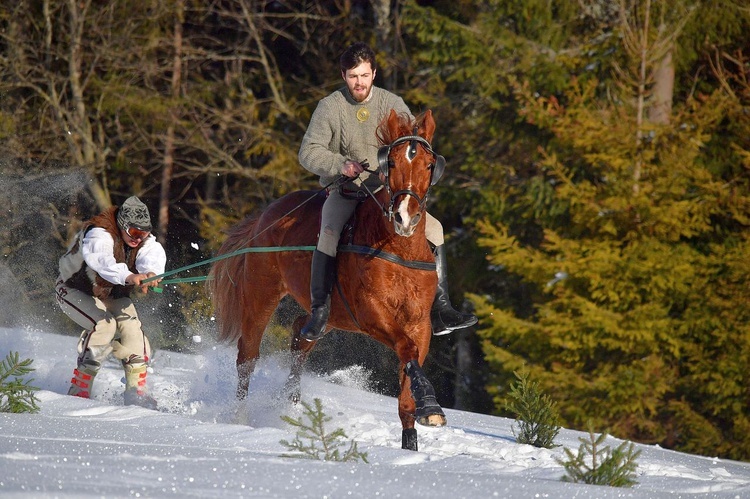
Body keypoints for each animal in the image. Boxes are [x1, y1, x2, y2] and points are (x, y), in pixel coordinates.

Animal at [209, 109, 446, 454]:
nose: (405, 217)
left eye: (429, 165)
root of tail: (266, 215)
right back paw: (240, 418)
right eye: (391, 163)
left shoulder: (420, 324)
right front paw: (431, 405)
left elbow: (407, 384)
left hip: (330, 315)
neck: (398, 249)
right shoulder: (372, 315)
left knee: (301, 336)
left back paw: (291, 404)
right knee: (247, 358)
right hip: (261, 296)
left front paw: (414, 436)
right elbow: (406, 347)